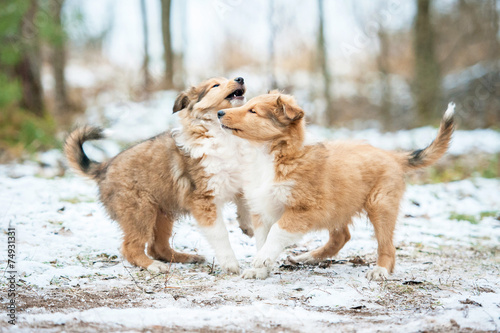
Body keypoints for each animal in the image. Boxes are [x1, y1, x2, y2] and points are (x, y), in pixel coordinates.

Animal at [65, 76, 254, 274]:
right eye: (215, 85)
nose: (240, 78)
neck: (222, 134)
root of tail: (104, 167)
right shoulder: (204, 200)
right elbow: (220, 234)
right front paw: (230, 263)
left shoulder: (239, 180)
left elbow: (245, 204)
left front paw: (248, 227)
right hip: (140, 210)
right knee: (131, 247)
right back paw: (153, 265)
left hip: (163, 213)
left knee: (157, 247)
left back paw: (186, 257)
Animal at [217, 92, 456, 278]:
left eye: (253, 111)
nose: (219, 113)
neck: (268, 155)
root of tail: (392, 155)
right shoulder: (262, 209)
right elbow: (262, 239)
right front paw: (260, 269)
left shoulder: (303, 209)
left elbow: (277, 232)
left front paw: (262, 260)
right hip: (337, 205)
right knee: (341, 237)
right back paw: (308, 257)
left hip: (380, 205)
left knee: (387, 245)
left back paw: (380, 270)